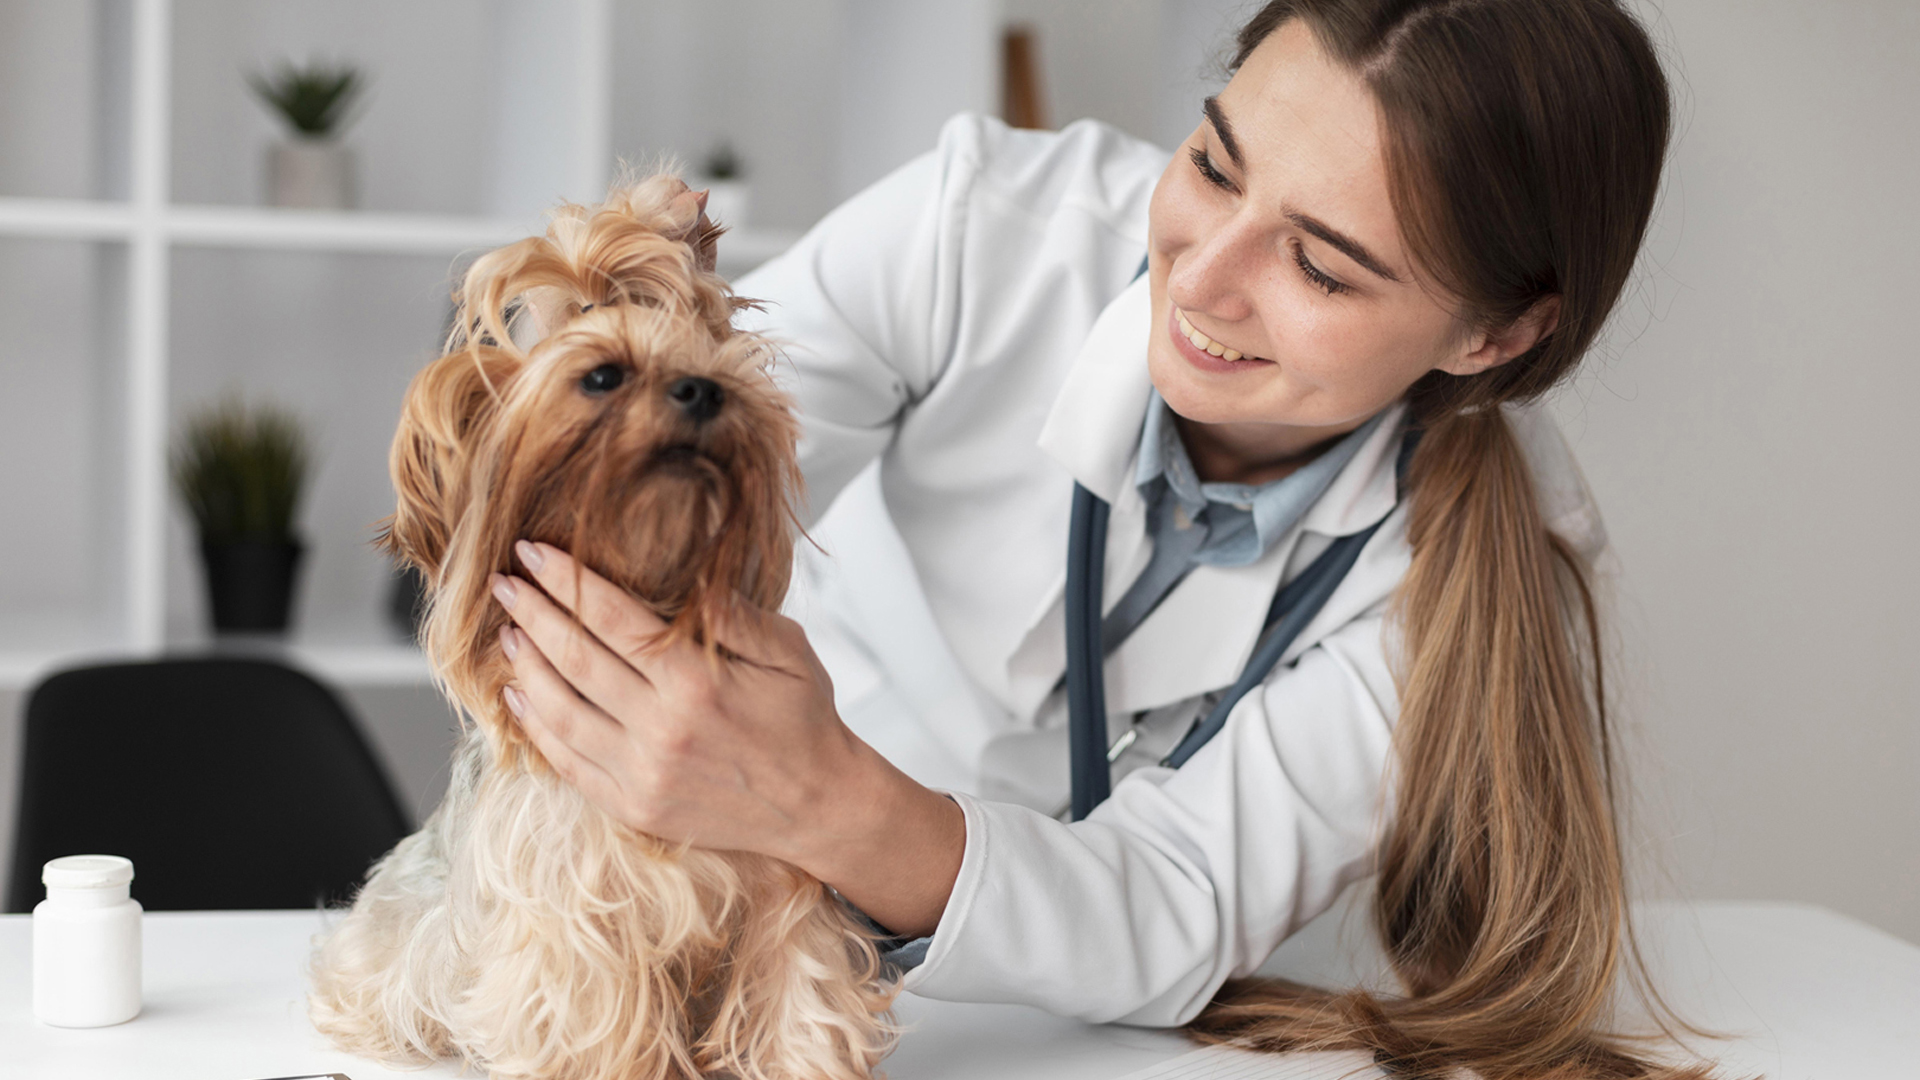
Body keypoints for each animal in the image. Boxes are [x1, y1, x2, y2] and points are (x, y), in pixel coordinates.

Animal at [307, 174, 898, 1076]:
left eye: (714, 366)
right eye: (603, 377)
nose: (704, 391)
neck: (648, 583)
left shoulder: (788, 854)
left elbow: (802, 987)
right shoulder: (570, 908)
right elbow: (593, 1009)